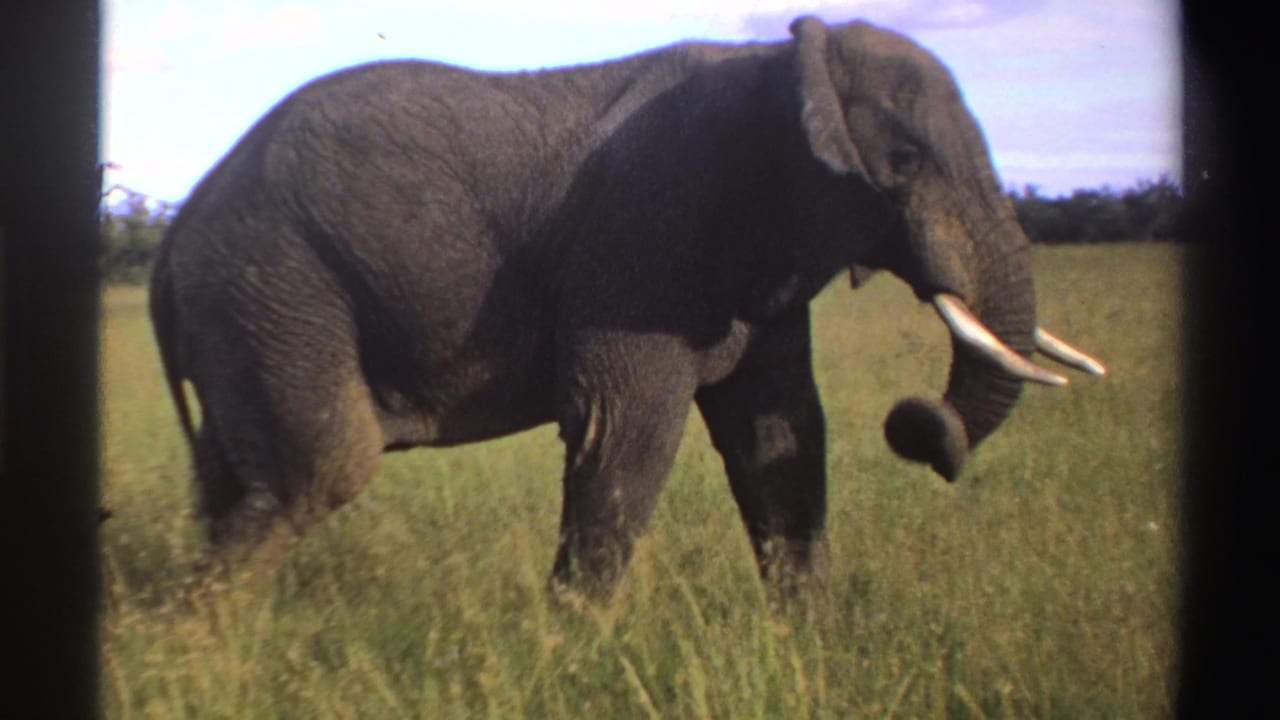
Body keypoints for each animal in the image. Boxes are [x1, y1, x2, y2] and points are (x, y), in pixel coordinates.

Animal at [150, 16, 1104, 600]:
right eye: (902, 161)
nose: (916, 424)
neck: (788, 61)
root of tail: (176, 231)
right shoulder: (646, 233)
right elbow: (629, 427)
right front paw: (569, 658)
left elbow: (781, 433)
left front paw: (811, 644)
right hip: (274, 285)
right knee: (321, 469)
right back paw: (201, 654)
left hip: (248, 307)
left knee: (239, 480)